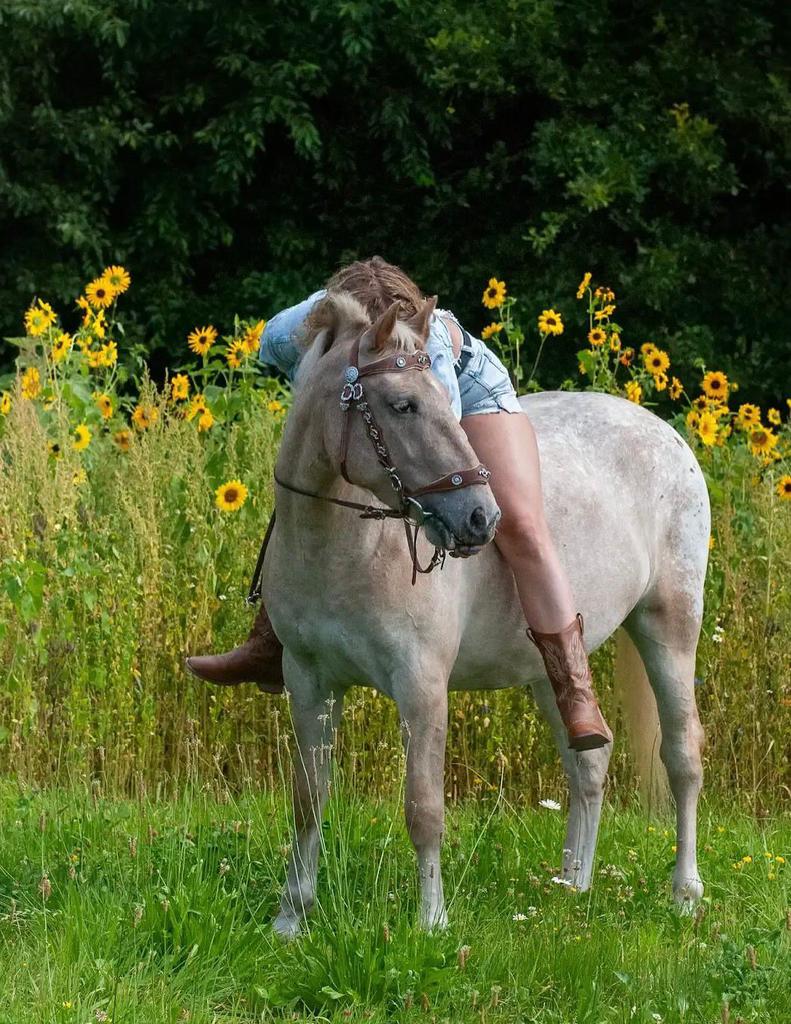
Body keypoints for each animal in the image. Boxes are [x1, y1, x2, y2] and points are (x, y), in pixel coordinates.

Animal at [261, 291, 710, 938]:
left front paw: (432, 922)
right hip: (549, 670)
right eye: (402, 404)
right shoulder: (308, 681)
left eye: (439, 396)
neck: (343, 549)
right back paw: (571, 886)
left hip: (669, 630)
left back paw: (684, 892)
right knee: (589, 762)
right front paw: (291, 918)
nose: (480, 517)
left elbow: (424, 808)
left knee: (683, 757)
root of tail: (668, 436)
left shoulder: (421, 685)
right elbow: (307, 799)